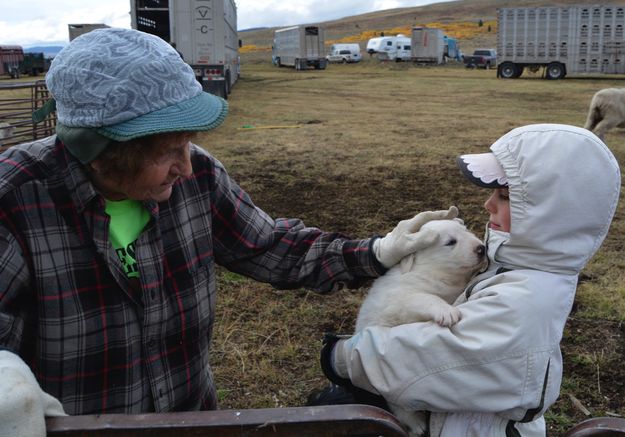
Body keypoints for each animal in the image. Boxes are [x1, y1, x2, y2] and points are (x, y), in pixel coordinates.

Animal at [354, 220, 486, 434]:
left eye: (467, 231)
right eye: (450, 242)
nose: (482, 248)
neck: (433, 271)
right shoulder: (402, 301)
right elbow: (426, 297)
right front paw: (447, 312)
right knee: (400, 407)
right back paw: (417, 425)